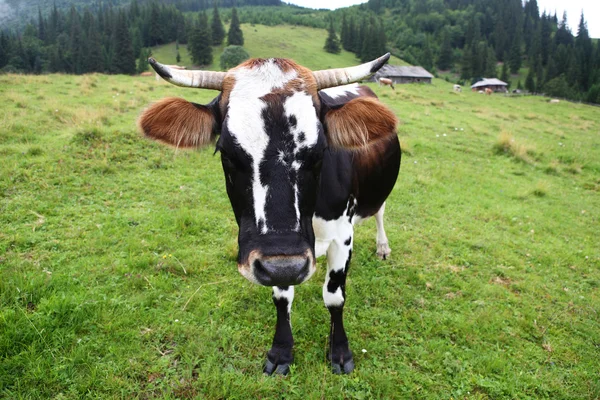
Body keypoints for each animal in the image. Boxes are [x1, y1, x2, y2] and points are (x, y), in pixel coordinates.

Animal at [138, 52, 400, 376]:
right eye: (226, 152)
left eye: (320, 152)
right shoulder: (275, 260)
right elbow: (282, 297)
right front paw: (281, 351)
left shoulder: (342, 235)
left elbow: (334, 296)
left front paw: (340, 352)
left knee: (379, 212)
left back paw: (383, 247)